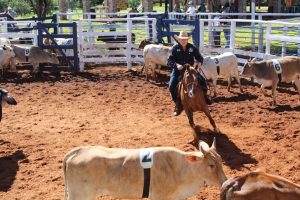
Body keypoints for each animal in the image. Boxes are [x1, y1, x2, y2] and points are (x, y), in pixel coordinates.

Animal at [63, 139, 227, 200]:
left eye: (221, 161)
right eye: (211, 165)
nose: (225, 182)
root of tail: (77, 151)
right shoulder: (159, 196)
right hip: (80, 195)